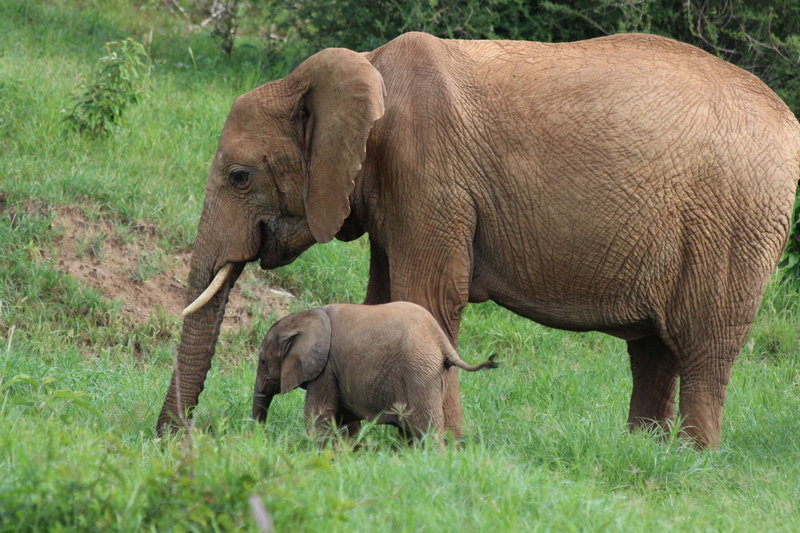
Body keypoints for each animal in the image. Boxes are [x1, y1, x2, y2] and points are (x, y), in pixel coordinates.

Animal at [253, 302, 496, 438]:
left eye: (263, 360)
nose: (259, 437)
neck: (303, 316)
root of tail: (441, 340)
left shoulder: (326, 368)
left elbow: (319, 415)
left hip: (419, 373)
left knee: (425, 429)